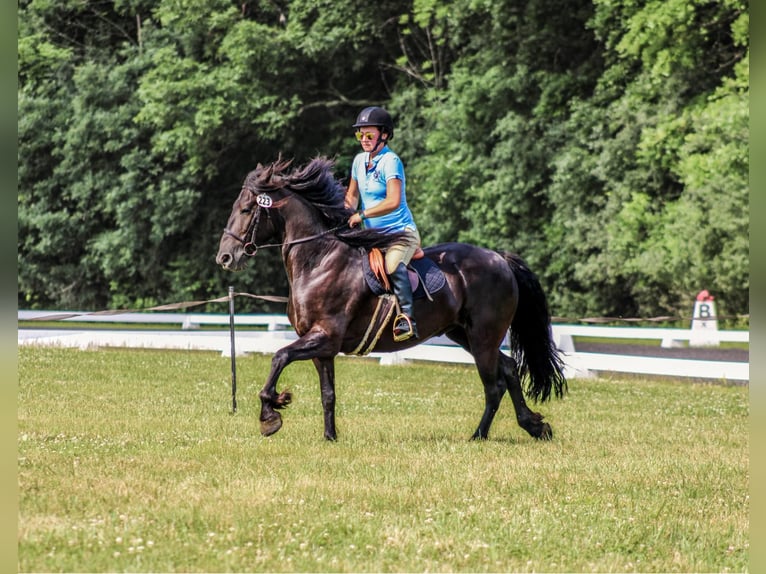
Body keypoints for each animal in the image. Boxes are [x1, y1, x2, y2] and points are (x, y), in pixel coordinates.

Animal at [216, 158, 564, 440]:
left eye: (246, 210)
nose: (225, 257)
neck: (319, 261)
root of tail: (500, 259)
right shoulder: (321, 347)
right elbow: (328, 393)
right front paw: (329, 436)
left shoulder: (325, 336)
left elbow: (279, 357)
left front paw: (270, 414)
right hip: (463, 333)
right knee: (509, 369)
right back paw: (534, 426)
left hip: (483, 336)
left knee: (494, 384)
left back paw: (479, 436)